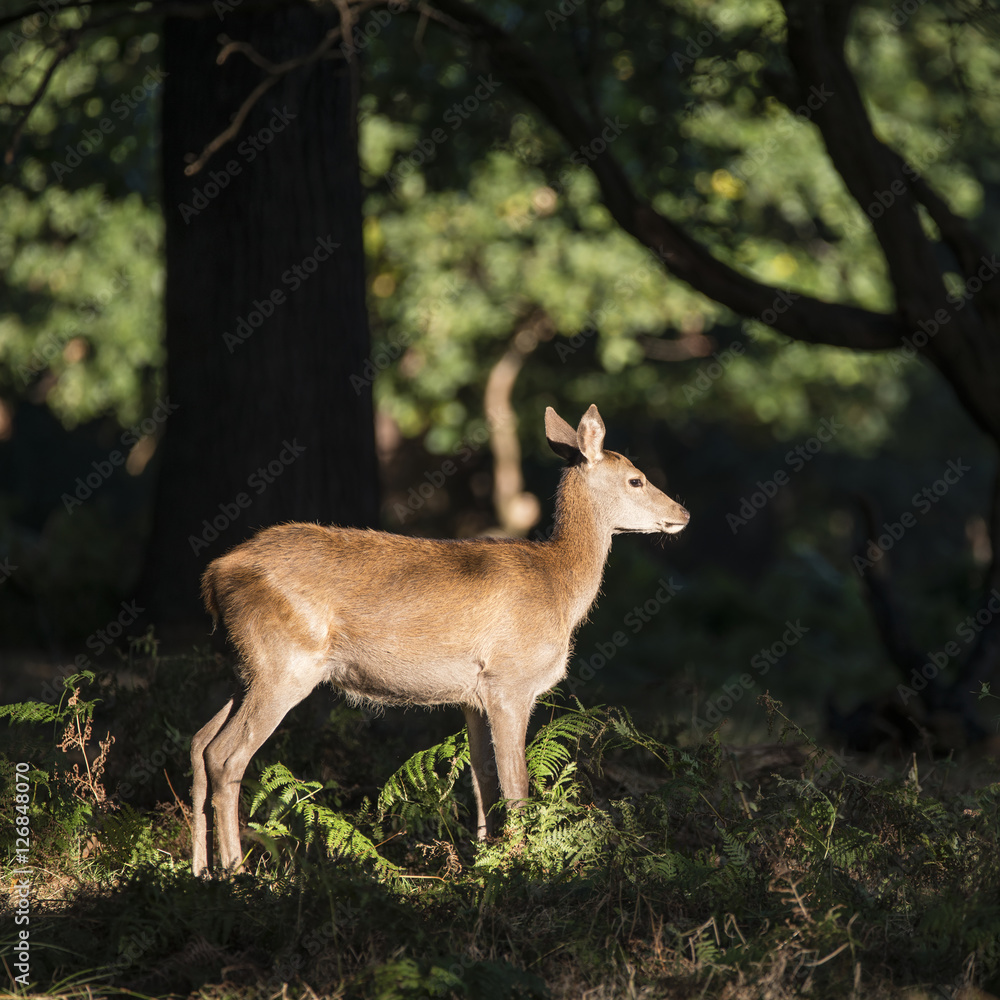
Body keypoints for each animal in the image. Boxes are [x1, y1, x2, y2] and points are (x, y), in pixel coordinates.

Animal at [190, 404, 689, 875]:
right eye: (636, 479)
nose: (683, 513)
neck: (560, 588)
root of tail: (214, 576)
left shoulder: (474, 695)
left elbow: (483, 780)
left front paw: (484, 860)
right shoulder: (510, 681)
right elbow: (516, 784)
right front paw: (522, 863)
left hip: (246, 667)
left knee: (198, 742)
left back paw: (200, 870)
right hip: (284, 664)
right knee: (225, 755)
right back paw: (235, 871)